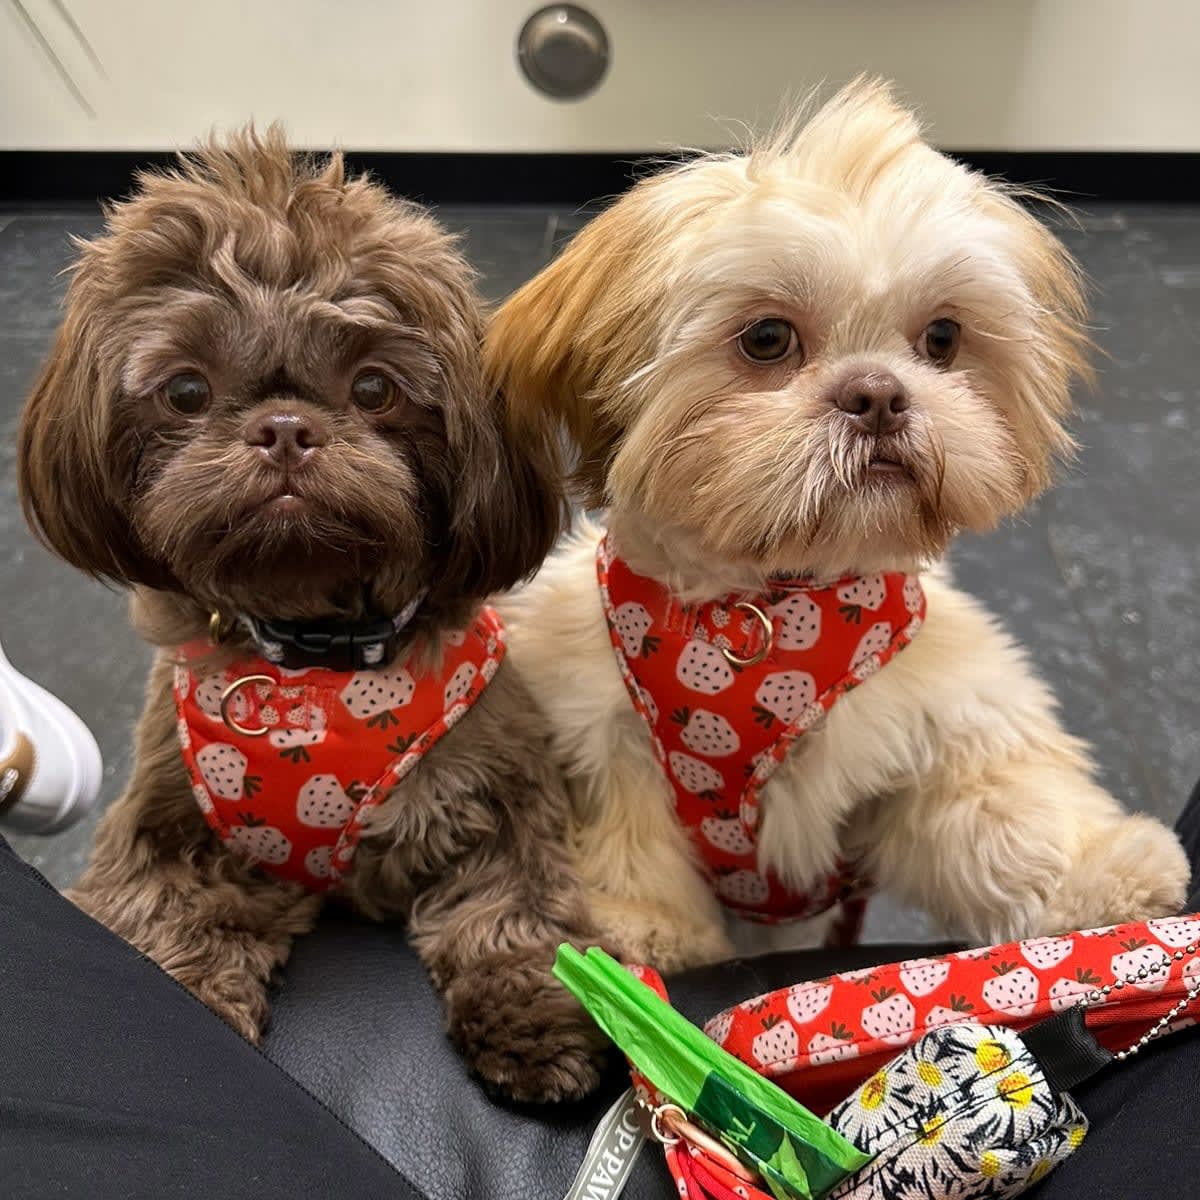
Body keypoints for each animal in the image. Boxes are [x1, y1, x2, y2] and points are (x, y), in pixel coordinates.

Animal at [25, 131, 609, 1104]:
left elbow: (515, 908)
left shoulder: (503, 785)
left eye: (373, 387)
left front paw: (532, 1017)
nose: (285, 428)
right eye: (186, 391)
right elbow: (161, 927)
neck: (324, 656)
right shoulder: (161, 825)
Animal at [482, 79, 1185, 969]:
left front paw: (1101, 876)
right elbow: (629, 836)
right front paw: (646, 928)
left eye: (942, 337)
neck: (764, 616)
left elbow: (993, 813)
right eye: (767, 338)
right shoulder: (599, 733)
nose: (878, 394)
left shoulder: (936, 723)